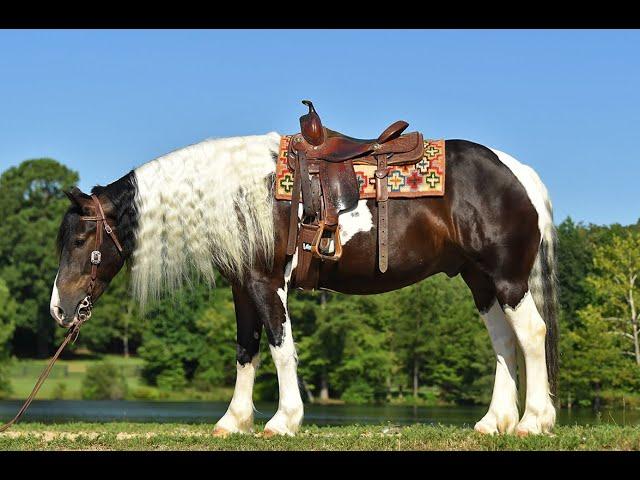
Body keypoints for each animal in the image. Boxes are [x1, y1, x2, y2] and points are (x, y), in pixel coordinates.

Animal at [50, 129, 556, 436]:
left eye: (79, 238)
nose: (60, 308)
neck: (244, 194)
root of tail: (519, 173)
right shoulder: (242, 287)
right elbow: (246, 349)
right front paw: (233, 420)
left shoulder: (266, 281)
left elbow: (280, 346)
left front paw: (283, 420)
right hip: (480, 282)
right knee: (503, 343)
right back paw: (494, 422)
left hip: (507, 279)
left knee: (531, 334)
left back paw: (533, 421)